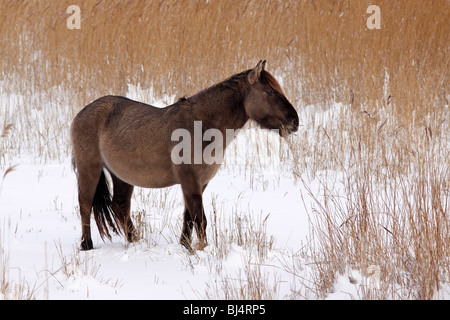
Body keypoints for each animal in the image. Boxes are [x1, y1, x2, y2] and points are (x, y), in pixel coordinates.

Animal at [71, 60, 298, 252]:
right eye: (269, 91)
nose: (294, 121)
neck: (202, 126)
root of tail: (82, 113)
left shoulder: (200, 182)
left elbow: (189, 216)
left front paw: (186, 246)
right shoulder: (190, 181)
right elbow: (200, 218)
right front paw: (203, 249)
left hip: (122, 176)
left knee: (120, 206)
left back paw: (134, 241)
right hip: (89, 168)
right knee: (85, 204)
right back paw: (87, 245)